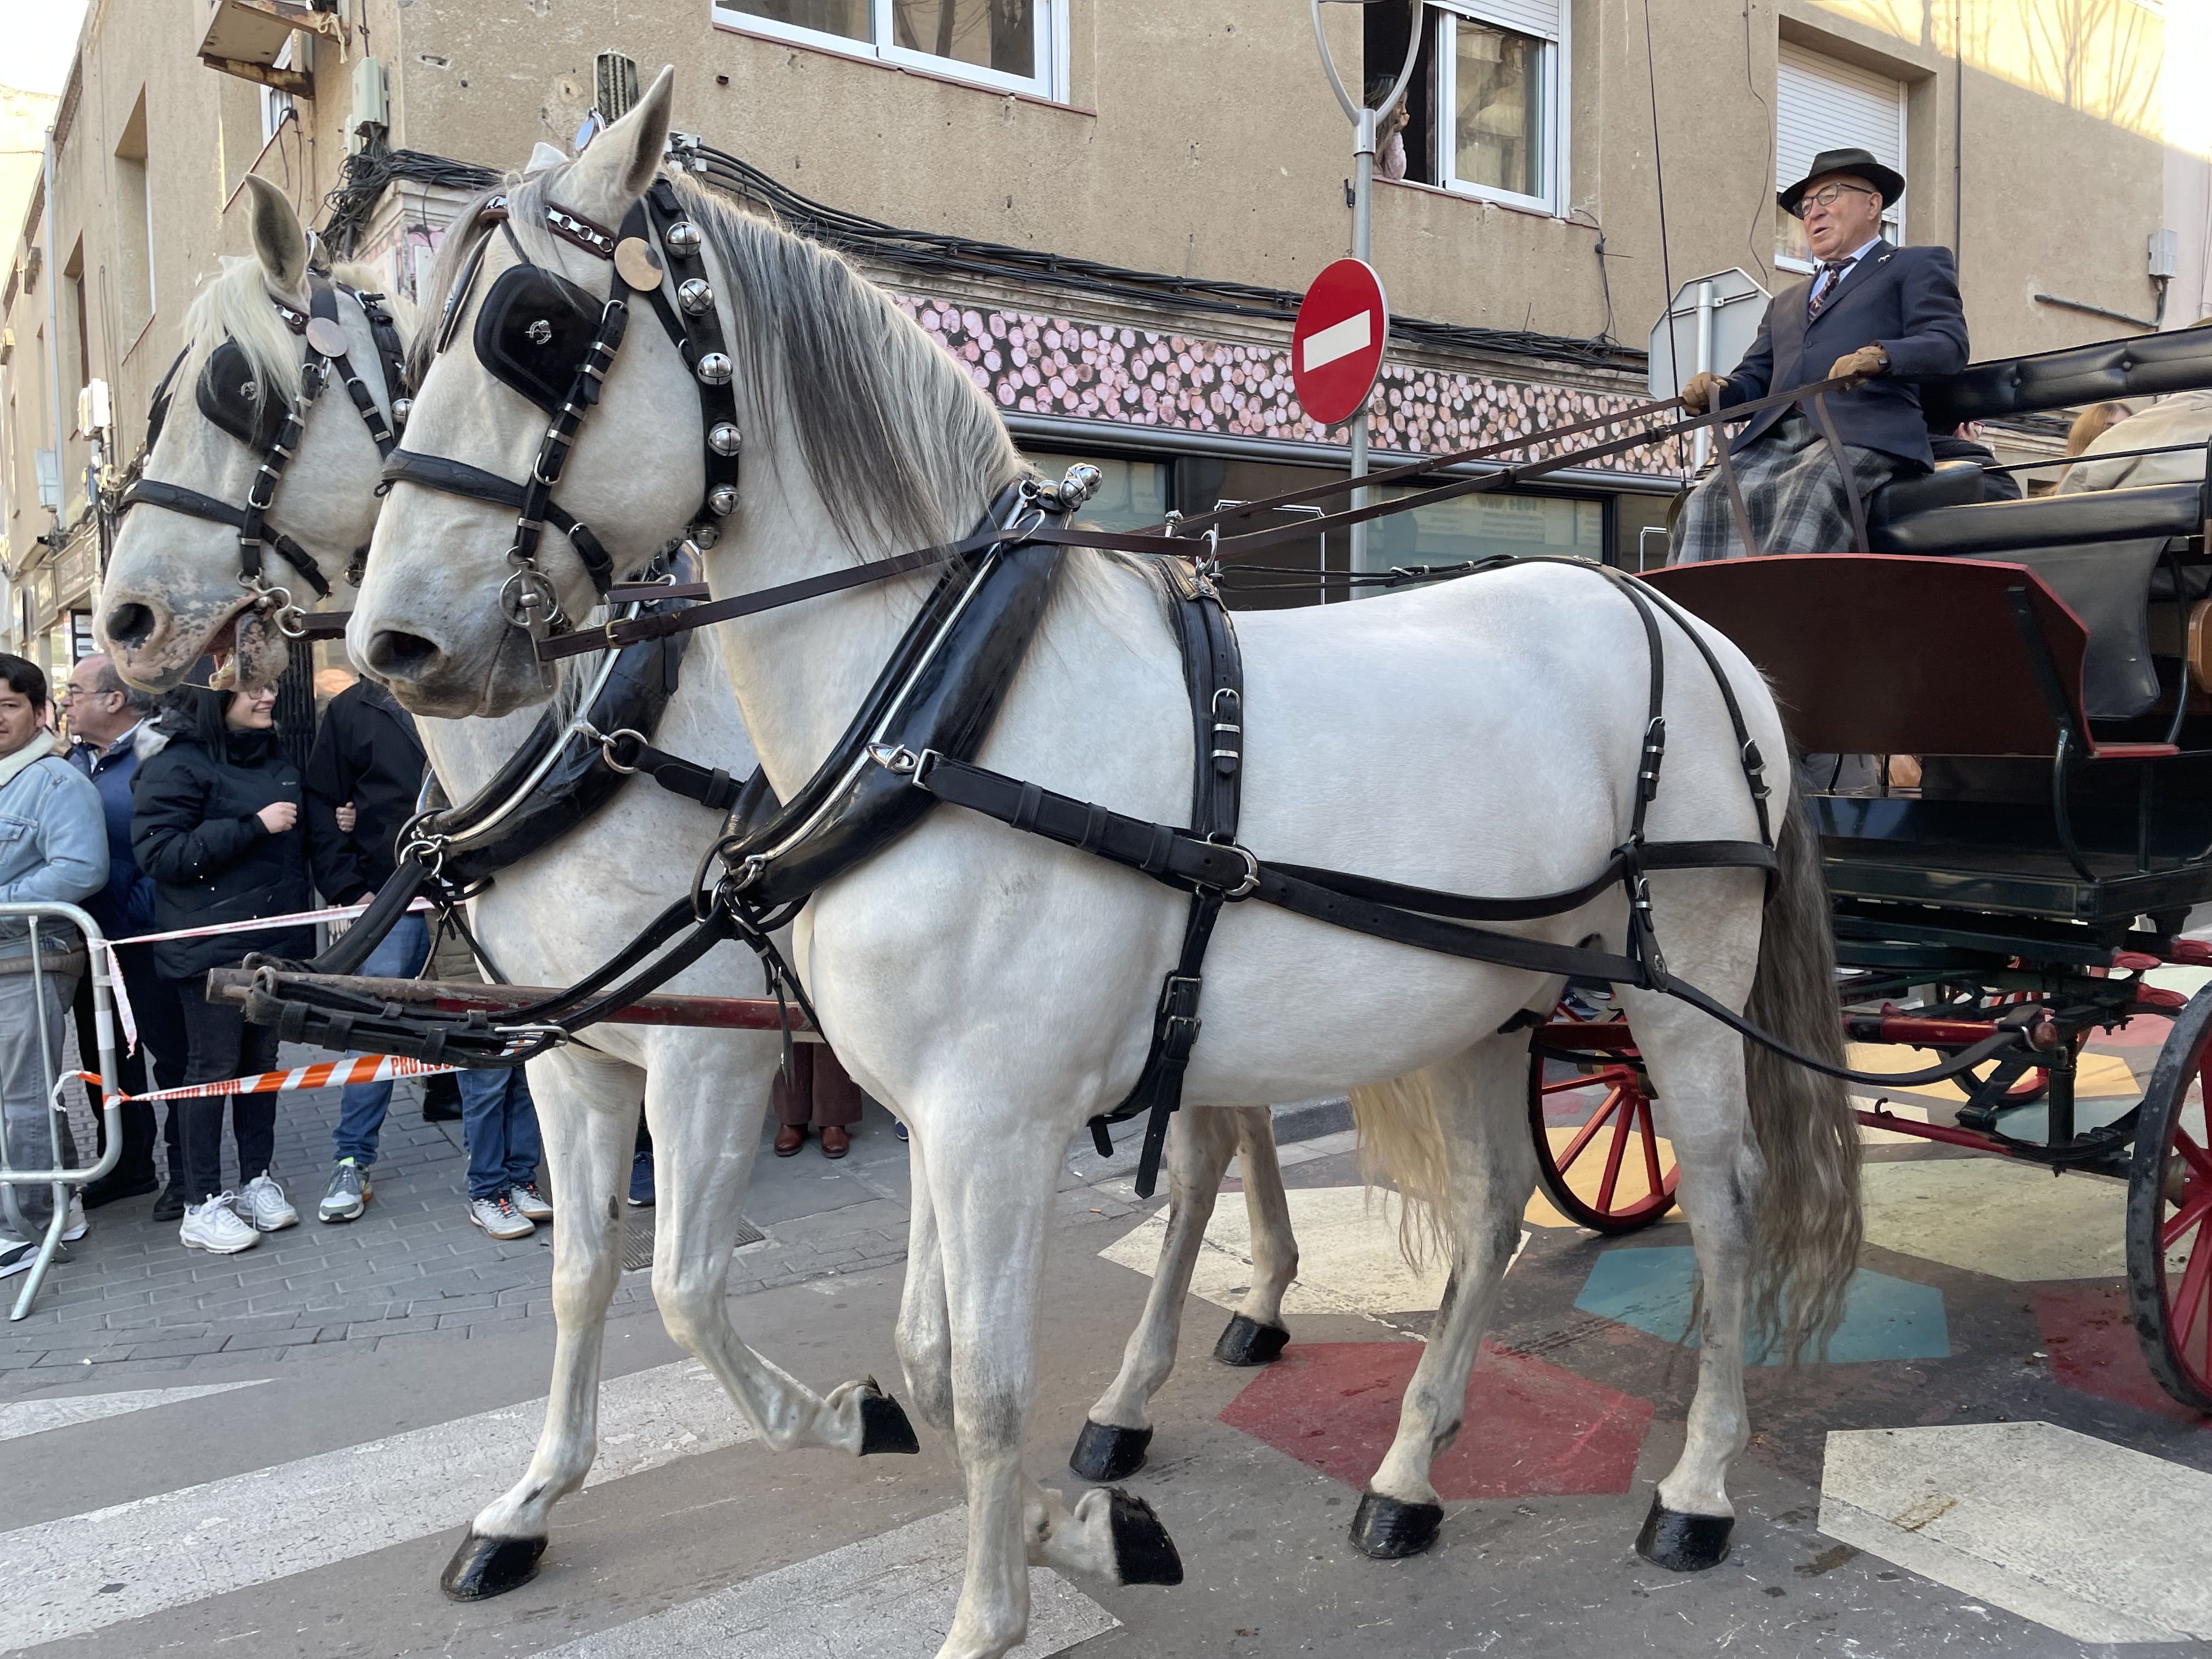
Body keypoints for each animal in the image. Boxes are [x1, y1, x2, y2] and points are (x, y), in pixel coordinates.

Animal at [95, 169, 1309, 1601]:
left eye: (239, 390)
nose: (119, 620)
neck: (591, 734)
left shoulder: (708, 1051)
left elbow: (681, 1282)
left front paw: (848, 1416)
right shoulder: (574, 1051)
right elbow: (584, 1274)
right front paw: (529, 1503)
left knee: (1202, 1155)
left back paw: (1145, 1388)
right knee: (1234, 1124)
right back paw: (1252, 1310)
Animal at [349, 75, 1867, 1659]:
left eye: (532, 327)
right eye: (407, 346)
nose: (396, 641)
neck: (944, 707)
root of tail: (1690, 628)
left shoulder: (973, 1117)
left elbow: (986, 1381)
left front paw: (992, 1609)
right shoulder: (923, 1116)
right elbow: (925, 1355)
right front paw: (1063, 1522)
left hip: (1684, 985)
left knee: (1726, 1193)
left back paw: (1696, 1485)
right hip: (1483, 995)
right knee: (1494, 1201)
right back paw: (1407, 1468)